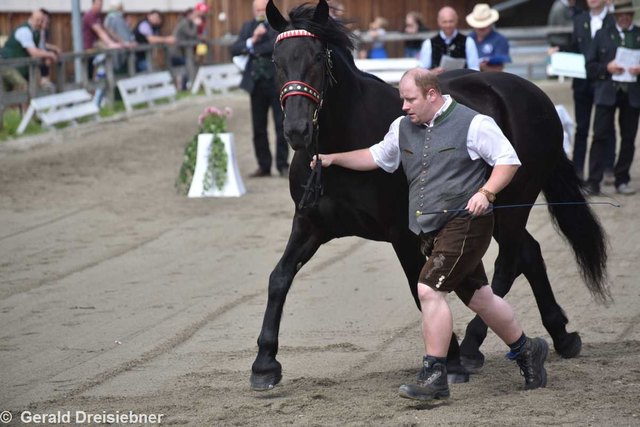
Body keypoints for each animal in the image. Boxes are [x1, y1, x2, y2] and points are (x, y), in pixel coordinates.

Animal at [249, 0, 604, 392]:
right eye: (276, 60)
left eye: (316, 57)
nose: (297, 130)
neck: (346, 141)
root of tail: (535, 96)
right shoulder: (310, 224)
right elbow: (279, 278)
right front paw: (264, 364)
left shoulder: (402, 233)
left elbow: (419, 286)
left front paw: (450, 358)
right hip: (494, 210)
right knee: (528, 253)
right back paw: (561, 336)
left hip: (514, 204)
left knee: (507, 264)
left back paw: (473, 346)